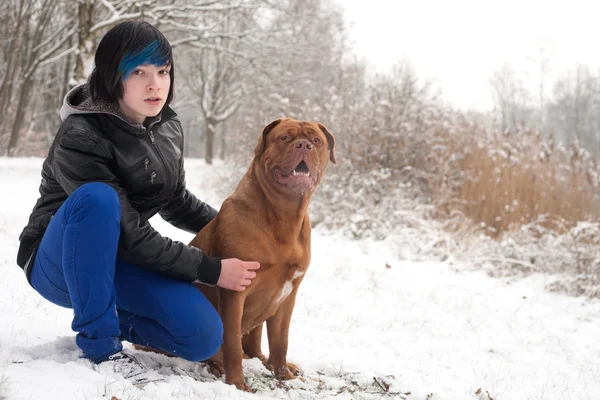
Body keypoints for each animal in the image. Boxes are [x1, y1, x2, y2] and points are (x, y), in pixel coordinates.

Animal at [190, 117, 336, 390]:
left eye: (316, 140)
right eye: (285, 138)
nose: (304, 145)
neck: (284, 215)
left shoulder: (288, 296)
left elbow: (280, 341)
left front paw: (285, 376)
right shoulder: (235, 292)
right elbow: (232, 344)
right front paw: (237, 385)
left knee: (255, 347)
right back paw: (216, 367)